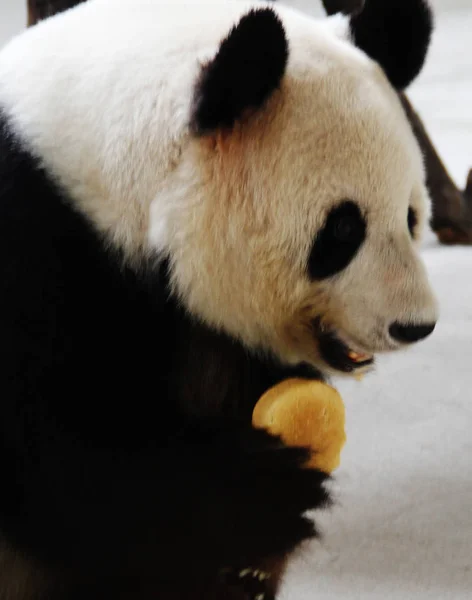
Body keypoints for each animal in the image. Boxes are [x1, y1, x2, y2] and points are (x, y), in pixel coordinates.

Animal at [0, 0, 436, 596]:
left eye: (410, 216)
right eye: (344, 230)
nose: (415, 325)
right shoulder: (31, 243)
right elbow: (56, 455)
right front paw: (271, 492)